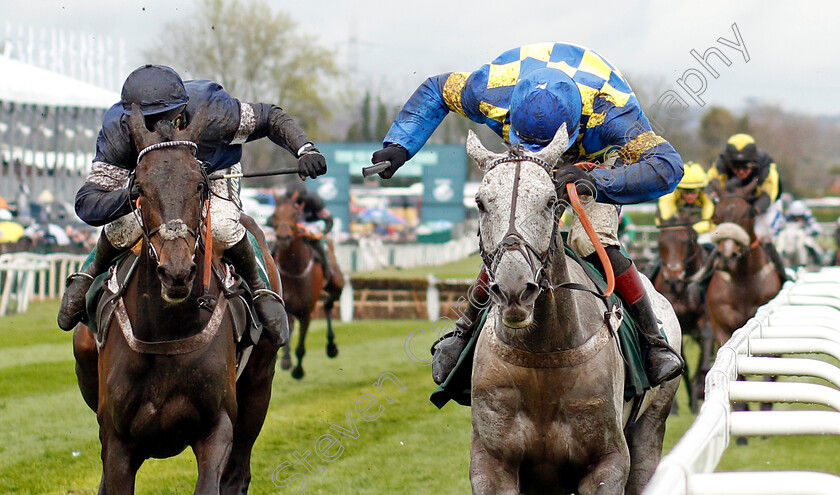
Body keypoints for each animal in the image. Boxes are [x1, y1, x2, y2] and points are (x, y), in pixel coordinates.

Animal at [71, 103, 280, 492]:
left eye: (198, 184)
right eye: (140, 186)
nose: (177, 271)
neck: (165, 332)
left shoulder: (216, 427)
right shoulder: (118, 441)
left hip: (260, 382)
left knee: (240, 469)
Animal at [274, 195, 342, 380]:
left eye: (295, 214)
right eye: (274, 215)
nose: (283, 237)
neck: (295, 269)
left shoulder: (307, 311)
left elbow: (301, 346)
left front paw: (298, 370)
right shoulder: (287, 307)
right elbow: (288, 332)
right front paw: (286, 360)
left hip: (337, 283)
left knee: (328, 304)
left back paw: (331, 346)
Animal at [466, 125, 684, 495]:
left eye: (549, 202)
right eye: (480, 203)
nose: (514, 290)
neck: (543, 353)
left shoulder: (607, 462)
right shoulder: (492, 464)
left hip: (652, 423)